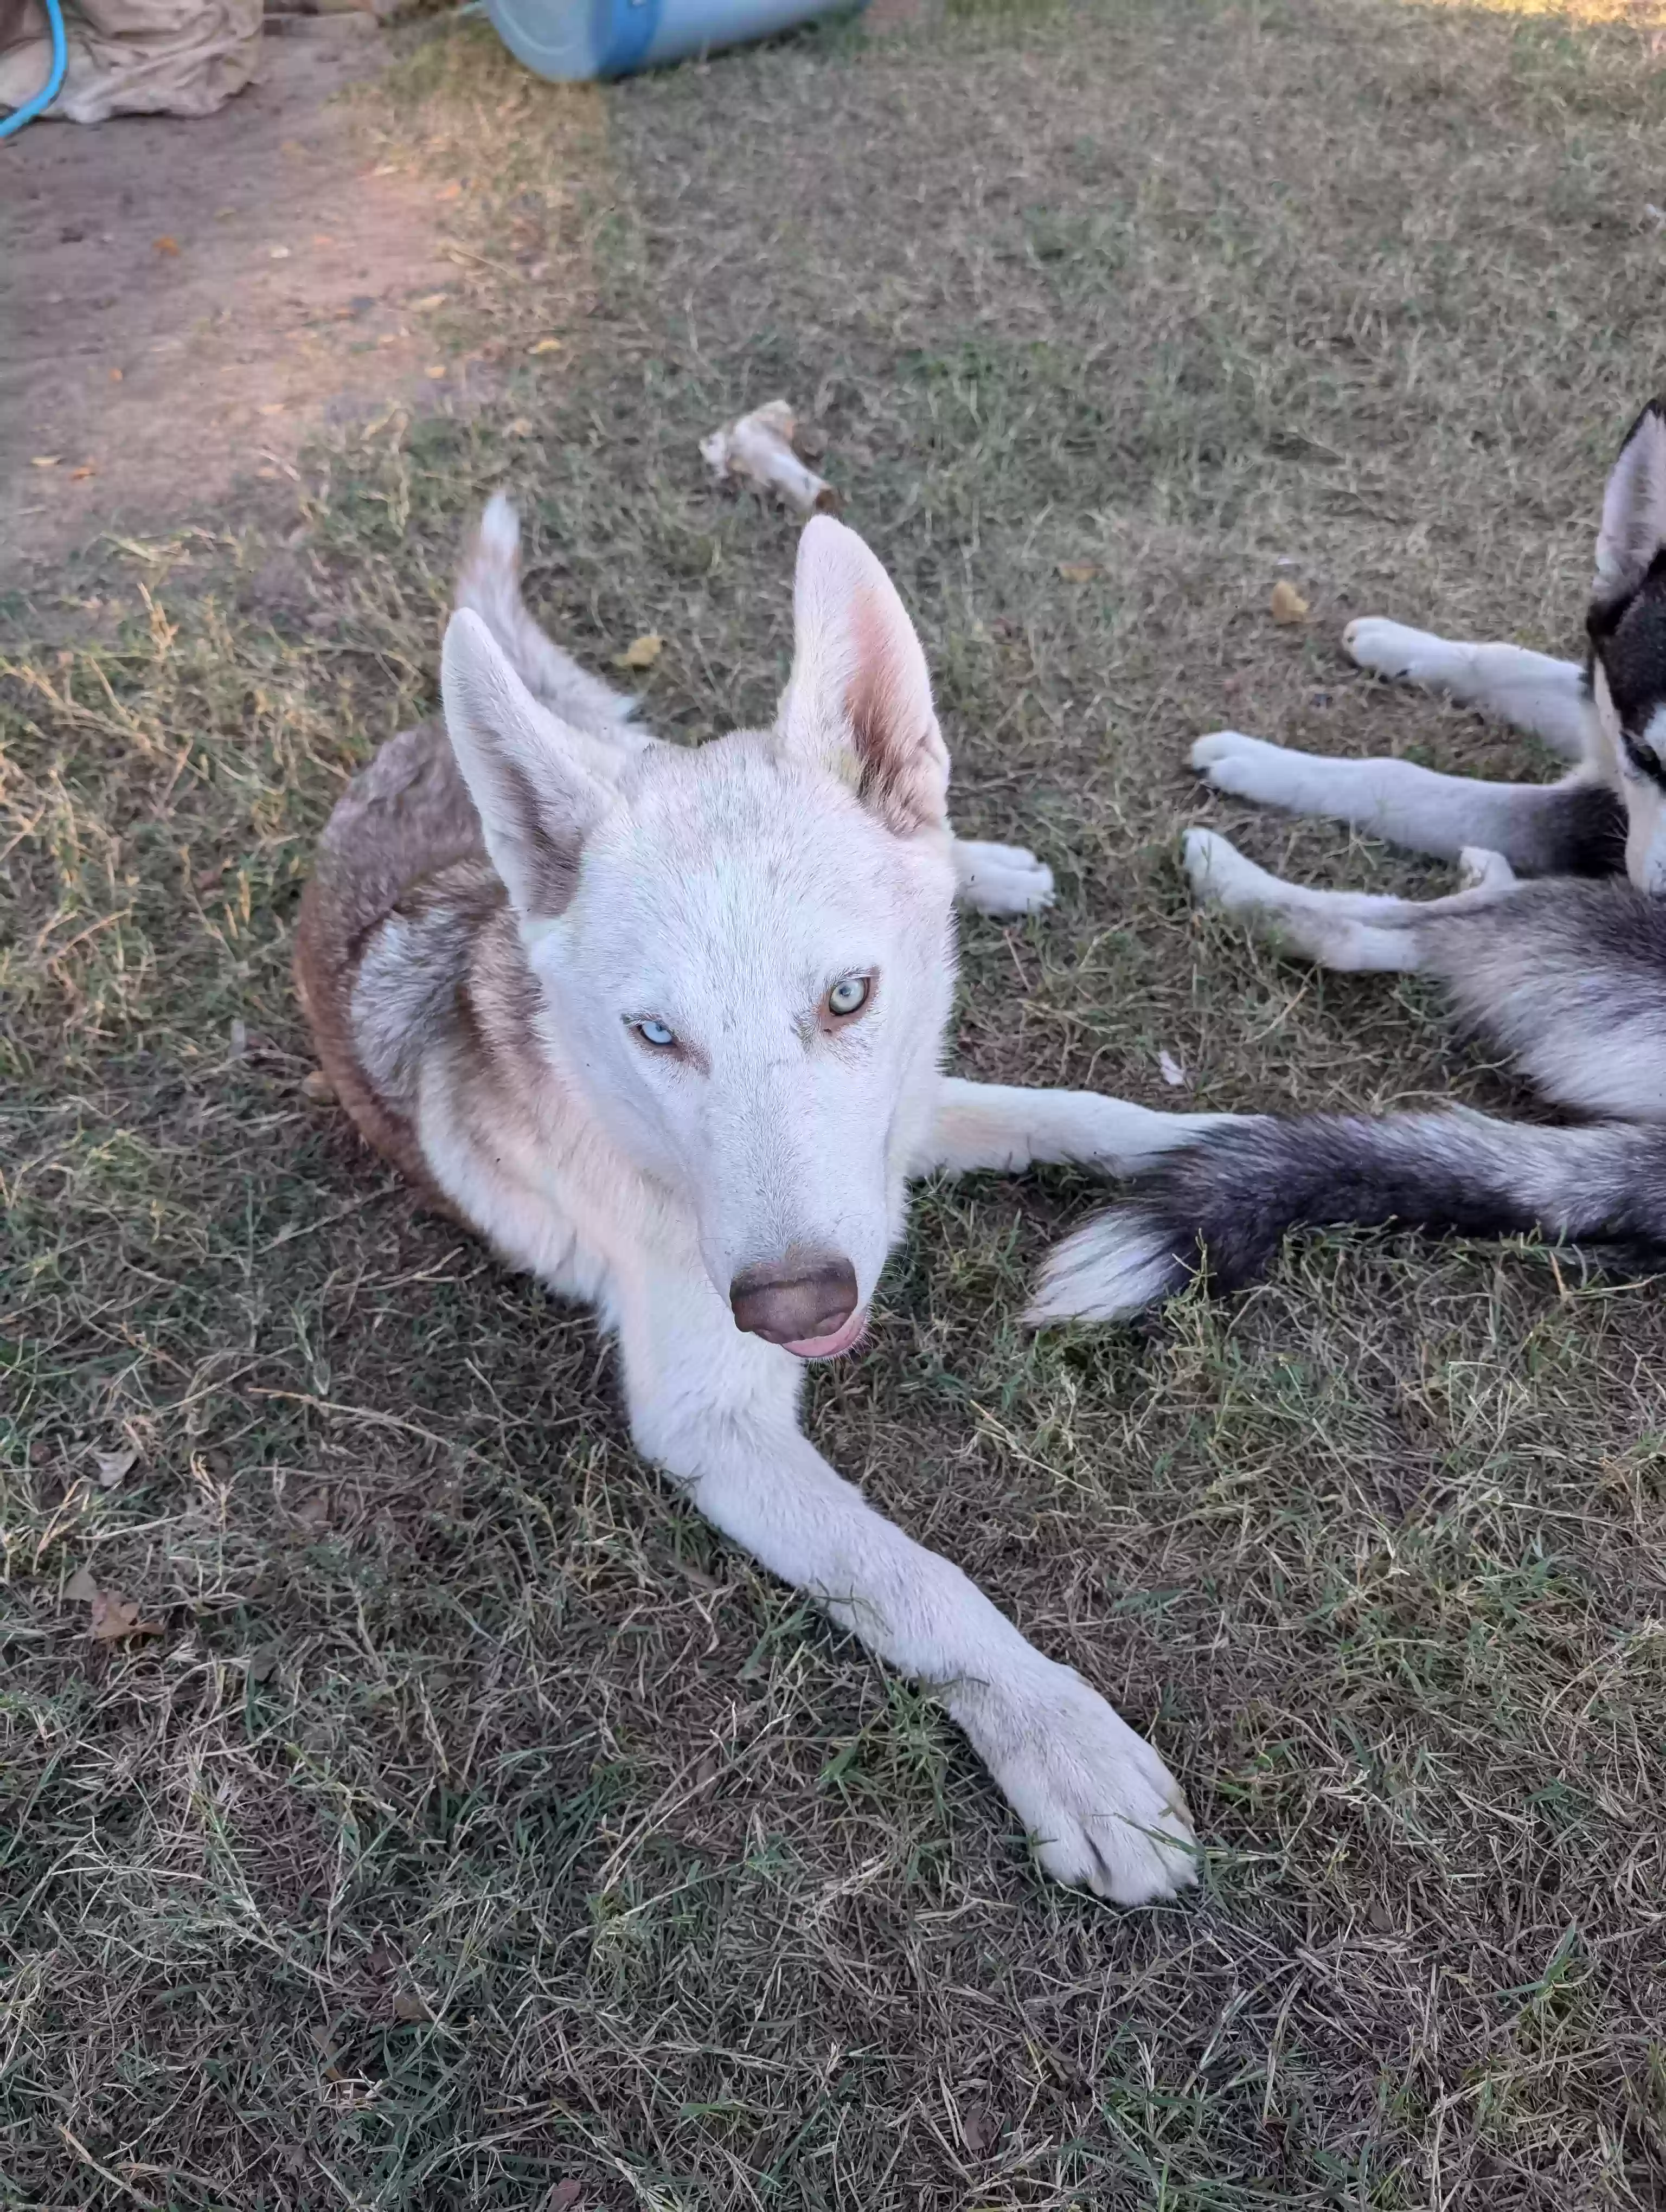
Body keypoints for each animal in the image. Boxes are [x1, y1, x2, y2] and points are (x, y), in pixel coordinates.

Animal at [292, 498, 1212, 1902]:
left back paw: (980, 863)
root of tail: (418, 737)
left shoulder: (901, 1113)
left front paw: (1240, 1148)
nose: (792, 1306)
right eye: (656, 1035)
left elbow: (1076, 1113)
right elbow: (916, 1577)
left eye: (845, 996)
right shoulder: (712, 1424)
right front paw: (1058, 1737)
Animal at [1035, 398, 1666, 1318]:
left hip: (1580, 924)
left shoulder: (1589, 819)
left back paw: (1230, 875)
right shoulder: (1604, 722)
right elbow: (1508, 662)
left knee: (1372, 935)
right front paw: (1401, 645)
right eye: (1650, 755)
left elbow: (1401, 782)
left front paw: (1261, 763)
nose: (1662, 895)